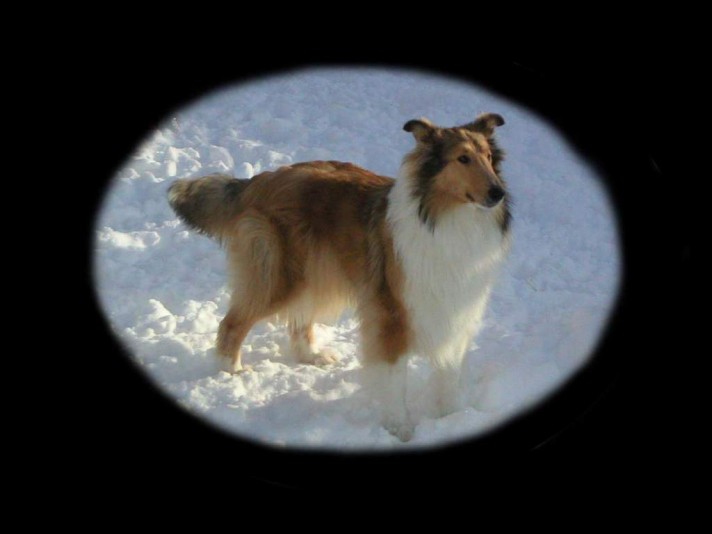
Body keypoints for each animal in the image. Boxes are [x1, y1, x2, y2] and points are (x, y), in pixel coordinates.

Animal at [169, 114, 508, 444]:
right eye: (462, 158)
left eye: (489, 157)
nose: (498, 193)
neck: (447, 219)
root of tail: (260, 179)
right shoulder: (392, 315)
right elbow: (394, 379)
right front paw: (400, 428)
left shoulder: (455, 310)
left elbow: (448, 374)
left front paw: (454, 418)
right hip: (280, 276)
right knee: (231, 323)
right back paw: (232, 372)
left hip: (314, 272)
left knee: (299, 318)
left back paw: (312, 355)